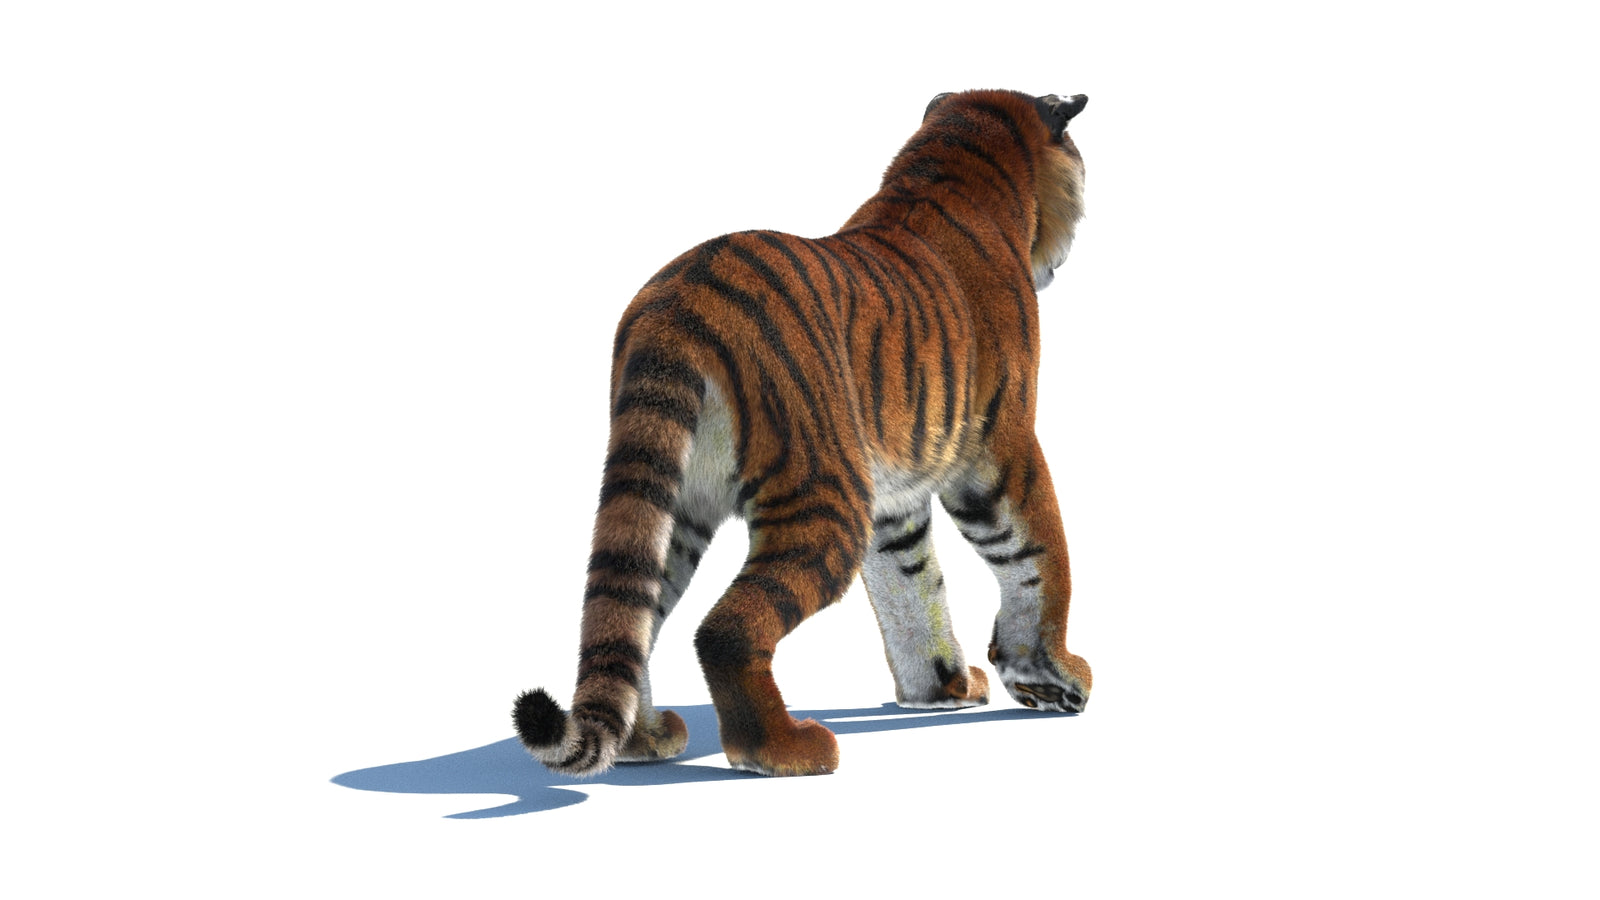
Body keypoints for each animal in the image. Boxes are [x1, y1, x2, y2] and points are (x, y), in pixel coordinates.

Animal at [513, 89, 1093, 777]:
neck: (955, 168)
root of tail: (681, 302)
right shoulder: (1001, 447)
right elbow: (1039, 554)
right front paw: (1055, 676)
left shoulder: (894, 500)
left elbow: (913, 586)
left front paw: (941, 688)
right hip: (823, 494)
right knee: (723, 630)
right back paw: (784, 749)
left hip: (664, 496)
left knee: (627, 616)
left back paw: (642, 739)